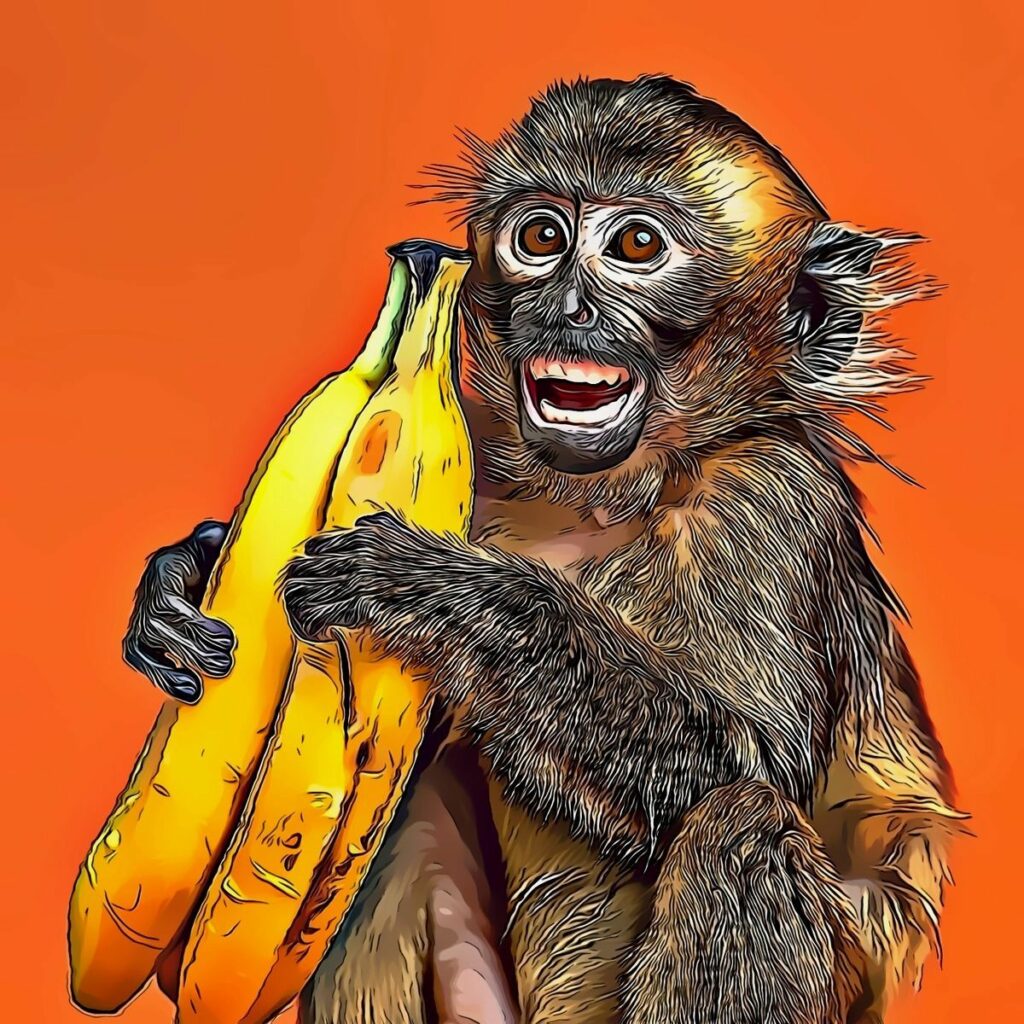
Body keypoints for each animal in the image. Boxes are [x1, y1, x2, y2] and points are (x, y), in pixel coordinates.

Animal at [121, 76, 966, 1024]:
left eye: (637, 245)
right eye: (540, 238)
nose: (565, 306)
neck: (603, 503)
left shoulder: (769, 498)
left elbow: (750, 758)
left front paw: (437, 594)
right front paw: (180, 581)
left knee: (740, 821)